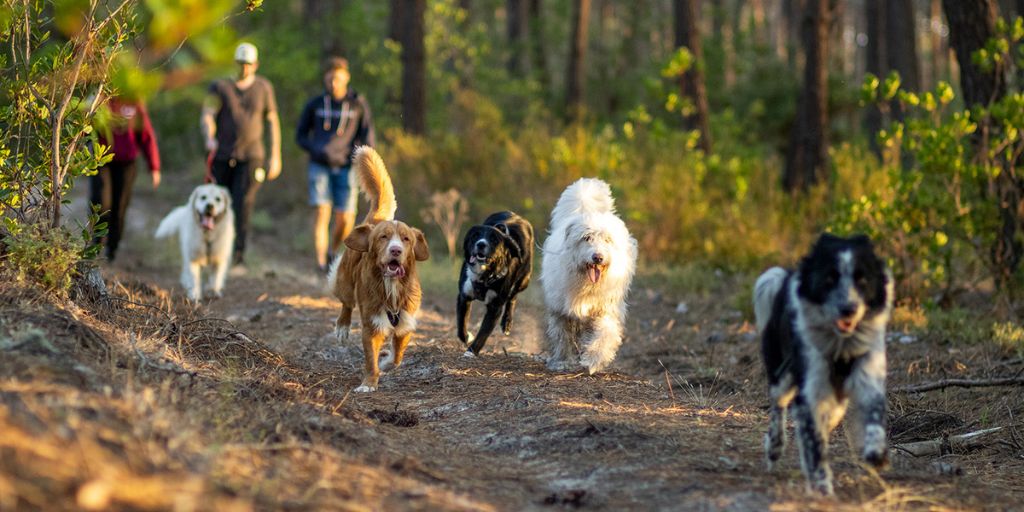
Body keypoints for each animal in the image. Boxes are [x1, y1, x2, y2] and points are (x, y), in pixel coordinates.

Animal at [458, 210, 536, 356]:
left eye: (494, 240)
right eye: (475, 235)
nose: (481, 244)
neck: (484, 275)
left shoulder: (495, 307)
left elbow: (483, 333)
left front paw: (472, 351)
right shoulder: (464, 296)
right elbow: (461, 324)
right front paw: (467, 337)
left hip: (524, 280)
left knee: (513, 297)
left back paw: (507, 322)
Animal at [540, 178, 634, 374]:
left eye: (607, 239)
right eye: (587, 238)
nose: (597, 257)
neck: (588, 284)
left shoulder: (606, 309)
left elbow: (605, 334)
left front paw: (593, 360)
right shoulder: (561, 309)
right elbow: (562, 336)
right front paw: (561, 361)